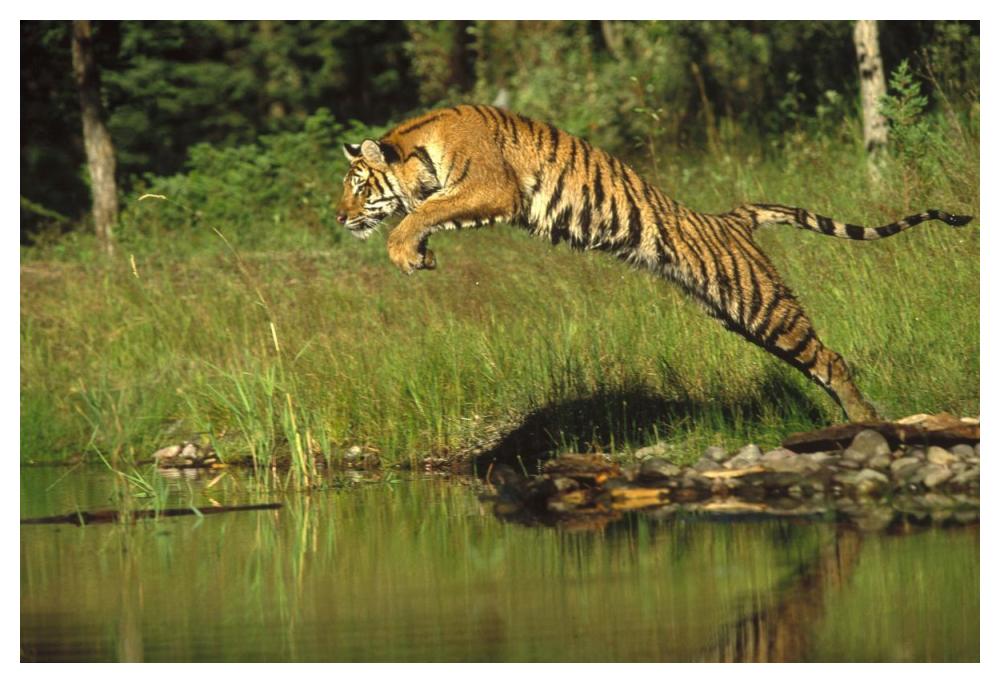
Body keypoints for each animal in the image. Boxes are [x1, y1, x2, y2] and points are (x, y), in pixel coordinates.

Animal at [335, 104, 973, 423]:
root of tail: (730, 216)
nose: (339, 217)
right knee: (817, 361)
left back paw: (868, 423)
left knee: (832, 359)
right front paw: (421, 253)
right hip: (742, 317)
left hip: (763, 305)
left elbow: (422, 211)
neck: (420, 147)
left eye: (358, 186)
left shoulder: (492, 187)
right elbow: (429, 213)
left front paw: (406, 251)